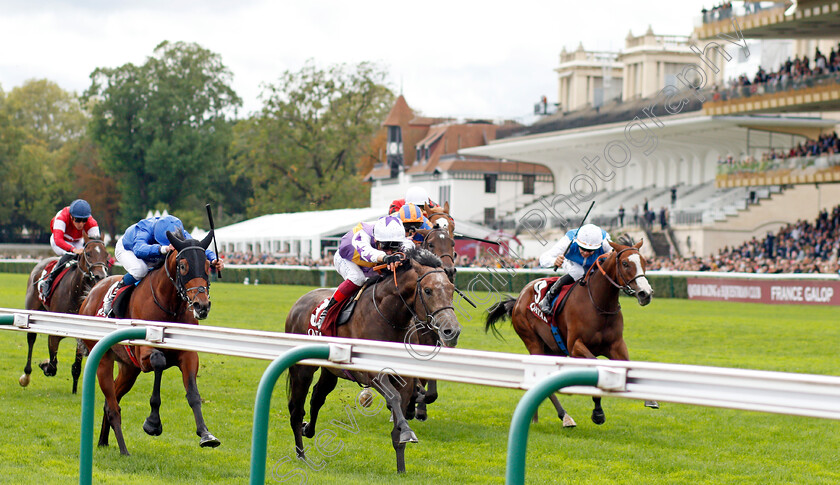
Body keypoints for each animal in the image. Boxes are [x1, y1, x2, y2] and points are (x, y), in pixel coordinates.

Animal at [21, 238, 110, 394]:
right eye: (88, 253)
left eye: (106, 254)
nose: (100, 276)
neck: (75, 292)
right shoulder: (54, 334)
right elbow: (52, 366)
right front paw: (44, 364)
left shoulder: (81, 333)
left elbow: (76, 367)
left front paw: (74, 391)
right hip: (32, 308)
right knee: (31, 338)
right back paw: (26, 375)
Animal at [77, 229, 220, 456]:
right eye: (183, 266)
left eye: (208, 265)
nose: (202, 305)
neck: (169, 305)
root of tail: (90, 294)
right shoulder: (144, 353)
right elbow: (159, 362)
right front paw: (153, 423)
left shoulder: (188, 354)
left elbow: (193, 393)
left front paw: (206, 434)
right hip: (103, 360)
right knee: (113, 406)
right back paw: (124, 450)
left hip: (129, 369)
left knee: (111, 402)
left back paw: (103, 441)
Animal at [286, 248, 462, 470]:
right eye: (428, 290)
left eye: (451, 289)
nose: (451, 331)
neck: (389, 316)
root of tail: (298, 303)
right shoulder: (373, 373)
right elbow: (393, 398)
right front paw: (408, 430)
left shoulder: (405, 378)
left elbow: (400, 416)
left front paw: (401, 468)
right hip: (302, 369)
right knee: (296, 409)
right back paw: (301, 455)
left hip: (330, 369)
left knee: (317, 396)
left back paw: (307, 429)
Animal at [486, 236, 656, 426]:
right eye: (626, 263)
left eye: (644, 262)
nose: (645, 293)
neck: (599, 304)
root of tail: (518, 299)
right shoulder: (575, 346)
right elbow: (594, 367)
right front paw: (597, 412)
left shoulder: (616, 345)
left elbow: (628, 365)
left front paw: (649, 398)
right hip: (533, 341)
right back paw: (564, 416)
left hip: (553, 348)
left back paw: (537, 417)